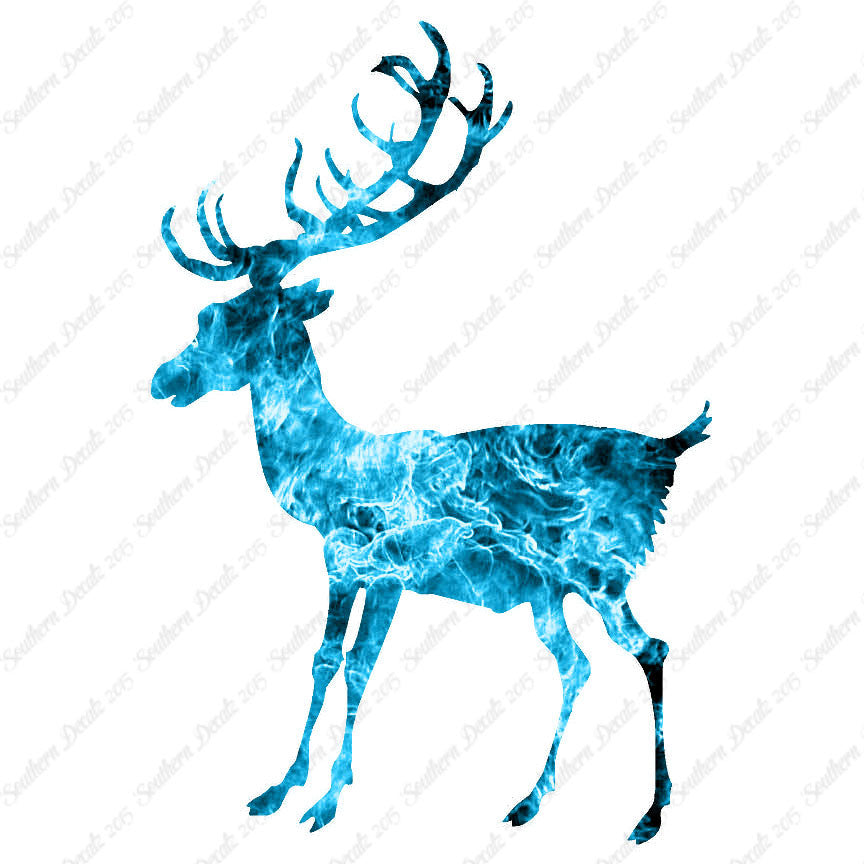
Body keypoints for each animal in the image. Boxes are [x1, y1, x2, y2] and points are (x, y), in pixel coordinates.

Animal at [151, 21, 710, 844]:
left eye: (237, 318)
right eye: (204, 312)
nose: (166, 379)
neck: (332, 474)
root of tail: (665, 451)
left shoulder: (386, 567)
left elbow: (357, 667)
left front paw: (327, 799)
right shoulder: (342, 563)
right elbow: (323, 661)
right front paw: (278, 788)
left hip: (601, 570)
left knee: (652, 648)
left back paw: (649, 813)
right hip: (549, 593)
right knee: (574, 663)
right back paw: (529, 799)